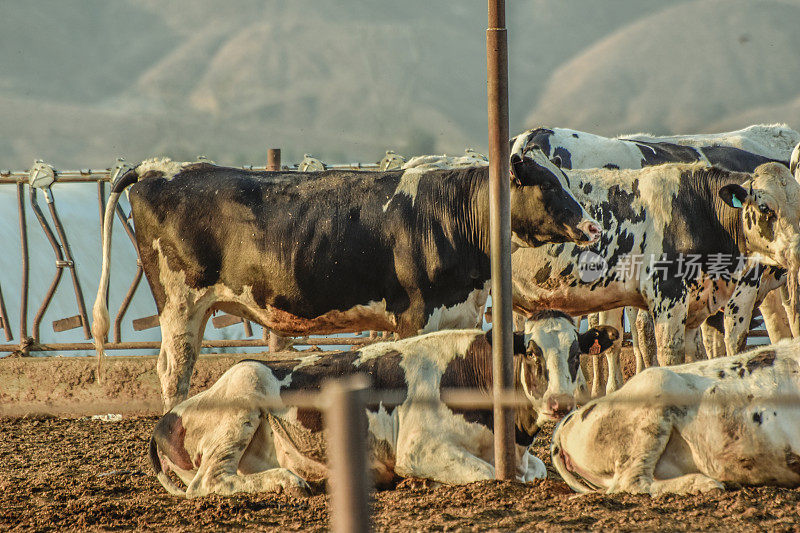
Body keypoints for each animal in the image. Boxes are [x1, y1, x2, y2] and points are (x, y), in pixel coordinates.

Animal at [94, 156, 600, 410]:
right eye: (547, 185)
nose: (593, 227)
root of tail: (157, 166)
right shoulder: (416, 313)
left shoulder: (460, 311)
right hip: (180, 303)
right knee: (173, 371)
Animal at [148, 314, 620, 496]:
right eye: (533, 353)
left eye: (576, 353)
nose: (559, 403)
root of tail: (166, 419)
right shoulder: (420, 449)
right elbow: (490, 475)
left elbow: (533, 471)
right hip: (241, 397)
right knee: (208, 482)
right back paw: (286, 480)